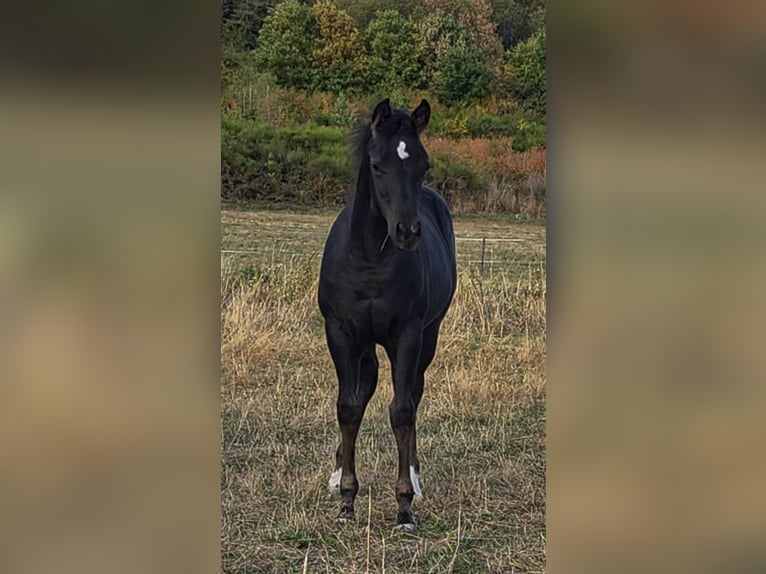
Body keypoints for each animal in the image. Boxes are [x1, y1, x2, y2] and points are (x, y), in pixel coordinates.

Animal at [318, 98, 457, 531]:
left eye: (424, 165)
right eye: (377, 165)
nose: (407, 232)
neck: (368, 260)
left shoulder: (407, 335)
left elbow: (402, 410)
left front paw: (404, 507)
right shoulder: (341, 333)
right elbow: (348, 406)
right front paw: (346, 501)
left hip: (428, 336)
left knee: (413, 394)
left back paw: (415, 477)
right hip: (364, 346)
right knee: (362, 393)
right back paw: (335, 476)